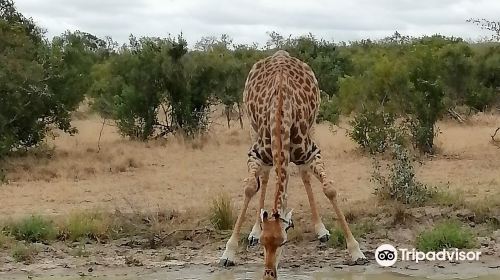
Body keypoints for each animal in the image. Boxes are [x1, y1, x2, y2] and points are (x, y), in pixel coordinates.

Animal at [220, 49, 368, 278]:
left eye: (282, 243)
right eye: (263, 243)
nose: (269, 273)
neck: (282, 110)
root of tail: (281, 53)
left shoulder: (311, 152)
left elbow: (329, 189)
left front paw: (356, 251)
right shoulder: (256, 154)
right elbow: (250, 187)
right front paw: (229, 252)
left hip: (313, 124)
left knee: (304, 174)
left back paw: (321, 229)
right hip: (252, 127)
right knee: (265, 176)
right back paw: (253, 229)